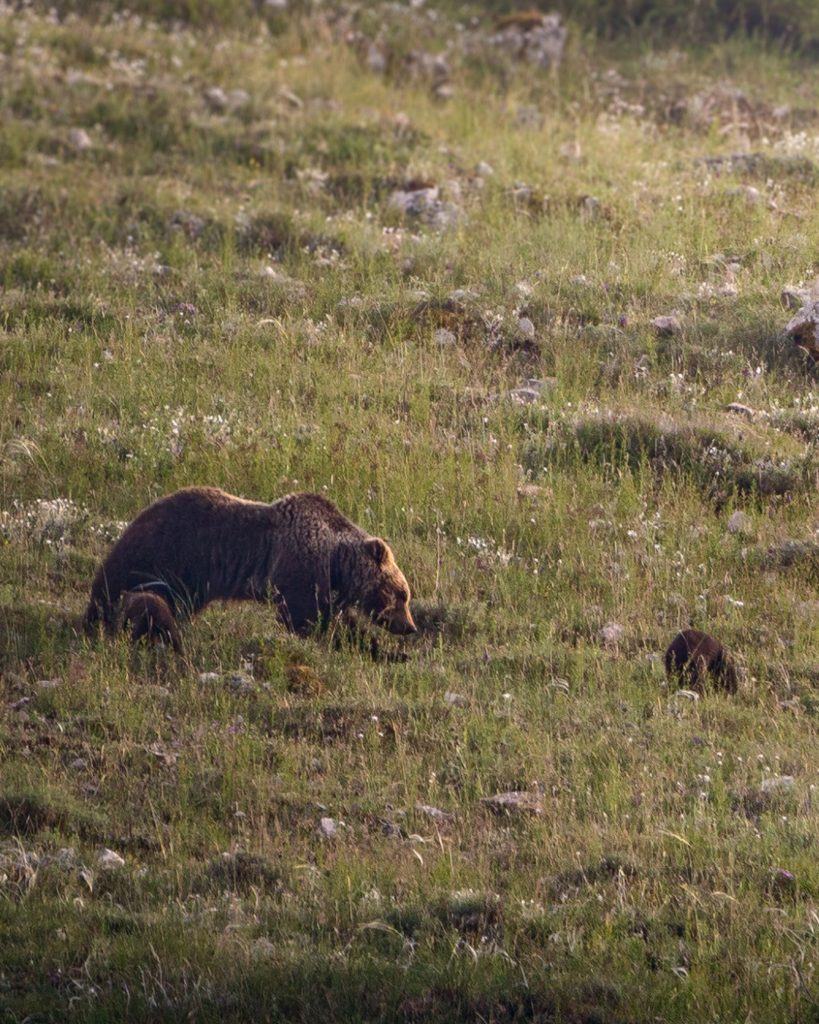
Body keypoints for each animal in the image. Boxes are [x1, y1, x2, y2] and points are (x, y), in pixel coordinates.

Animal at [84, 487, 415, 647]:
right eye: (401, 593)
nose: (410, 627)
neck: (335, 561)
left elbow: (336, 618)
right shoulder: (299, 569)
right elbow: (304, 618)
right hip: (164, 557)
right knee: (136, 599)